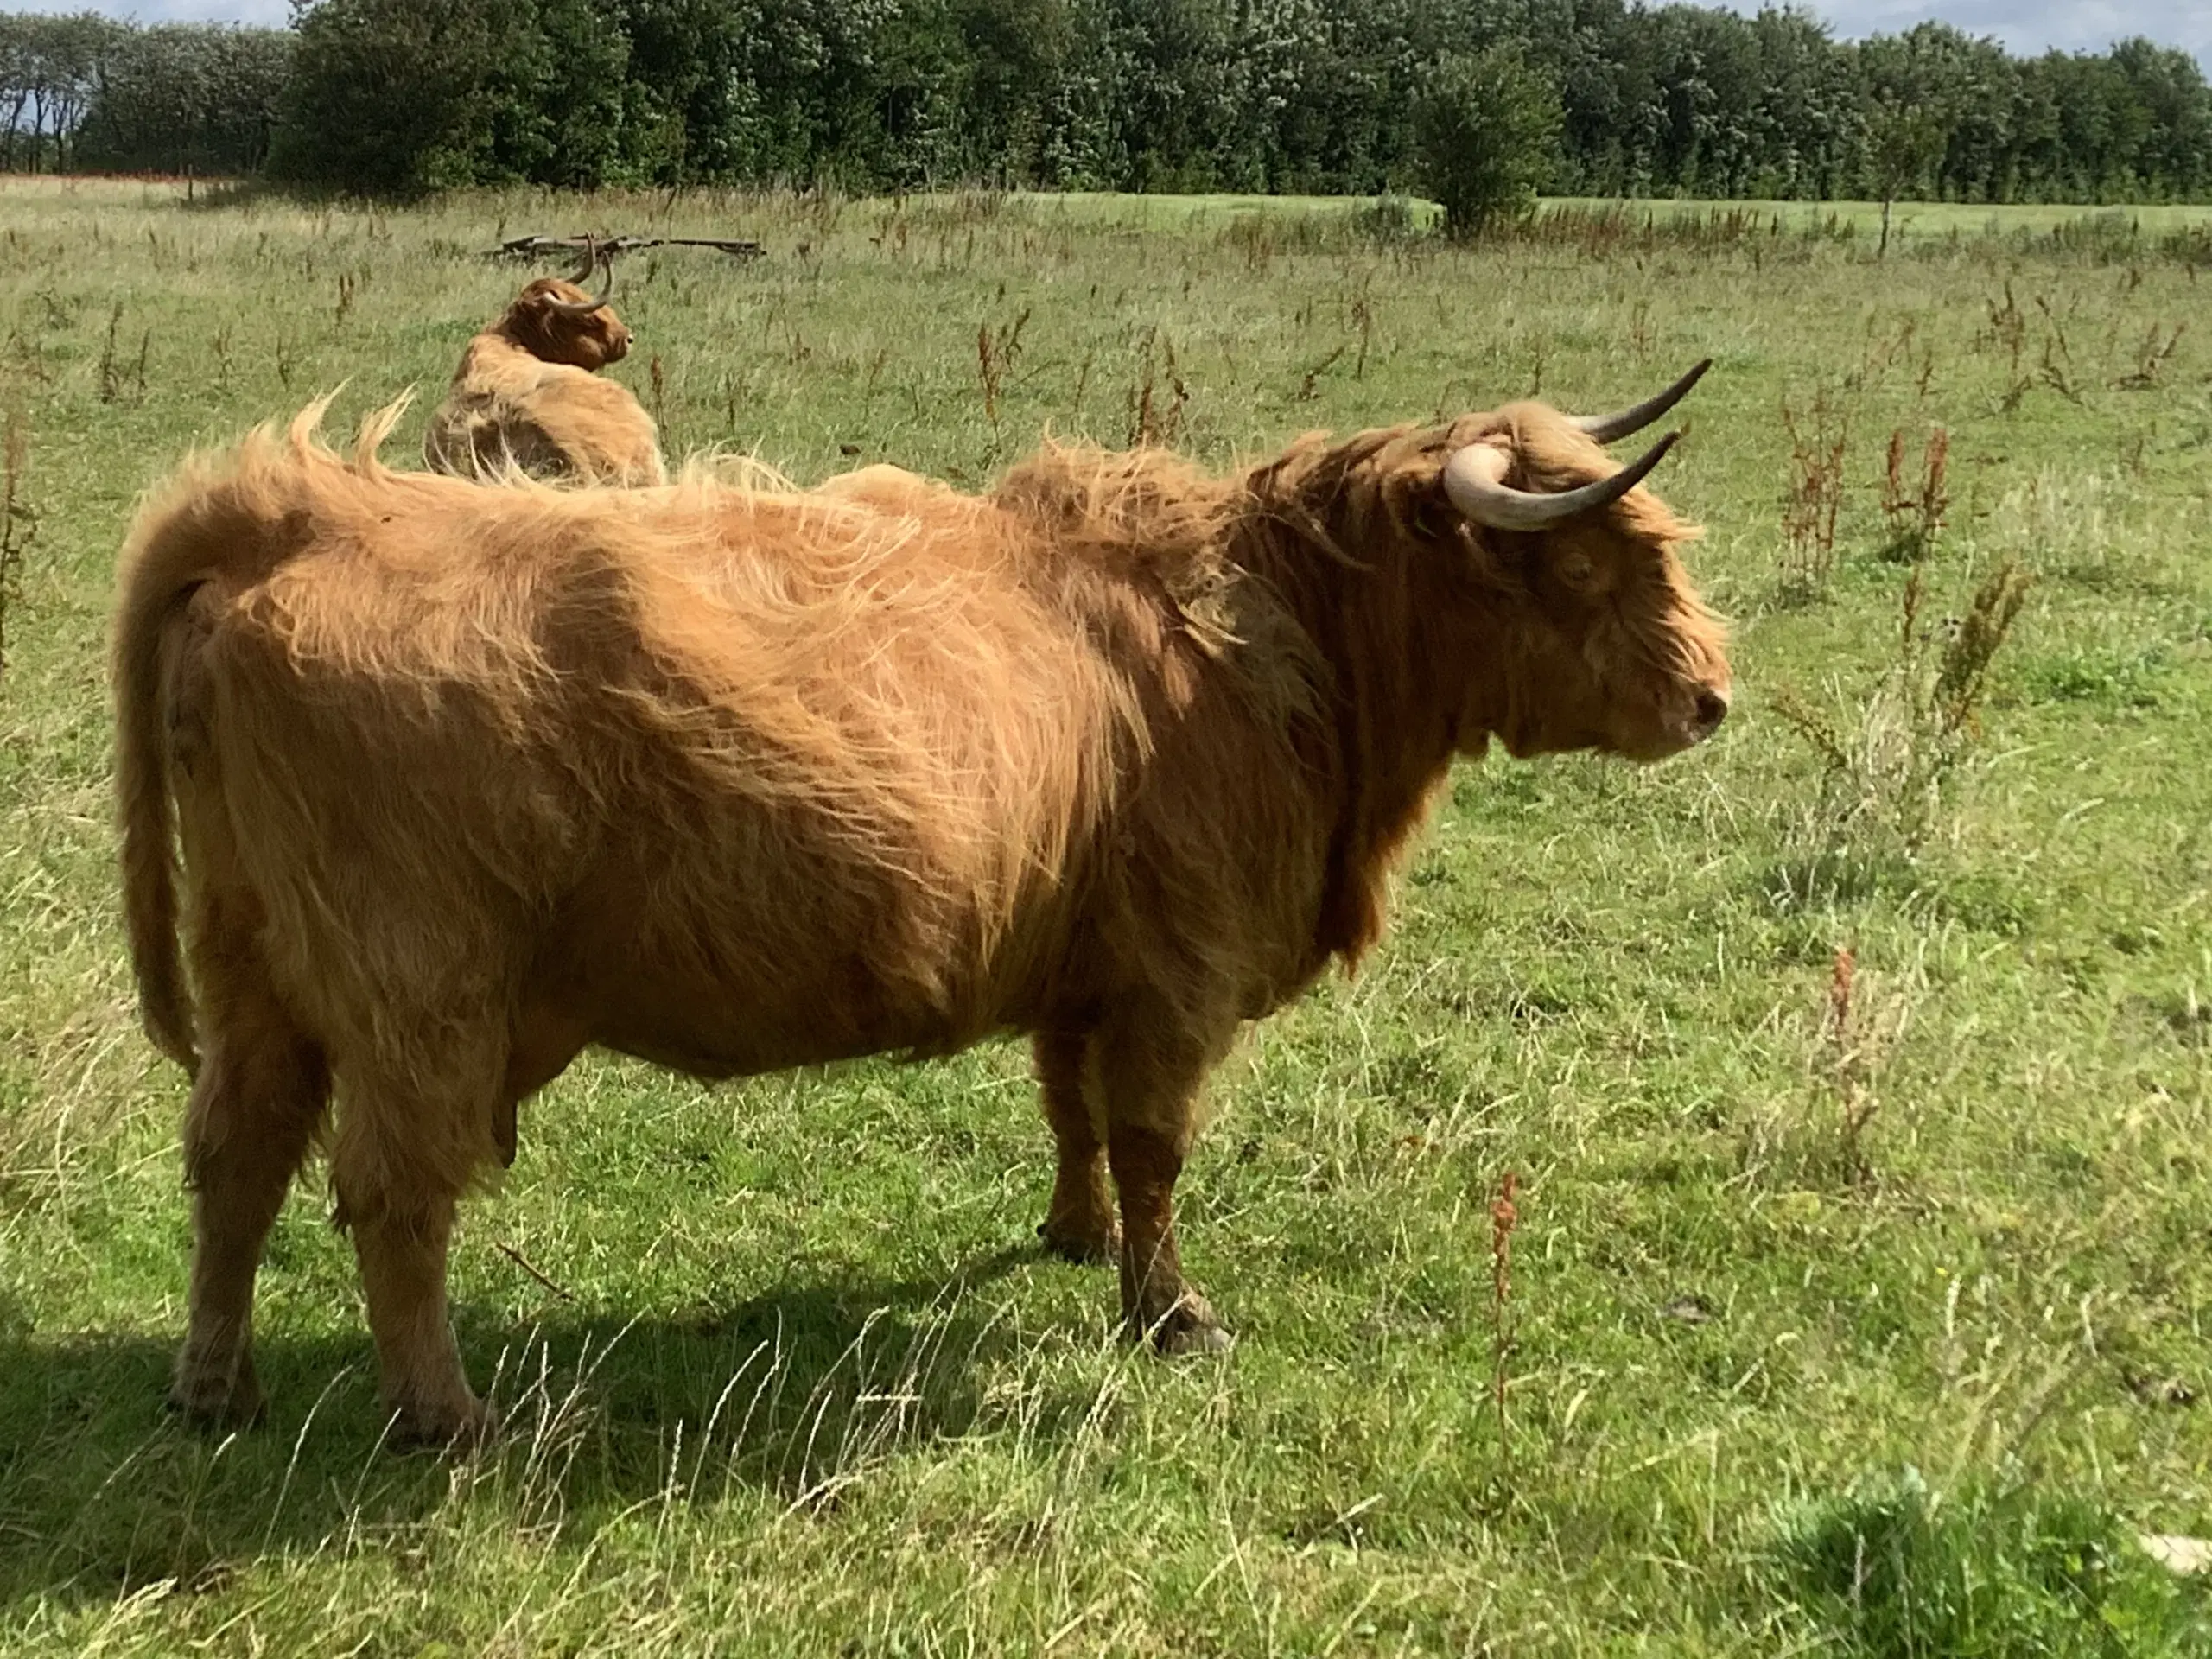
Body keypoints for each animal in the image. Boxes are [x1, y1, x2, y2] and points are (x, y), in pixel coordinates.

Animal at [117, 360, 1725, 1442]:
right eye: (1587, 563)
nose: (1712, 698)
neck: (1277, 643)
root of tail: (295, 509)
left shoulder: (1090, 955)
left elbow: (1073, 1108)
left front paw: (1075, 1238)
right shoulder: (1184, 964)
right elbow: (1155, 1139)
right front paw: (1171, 1310)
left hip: (253, 959)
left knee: (237, 1153)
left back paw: (214, 1384)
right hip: (422, 990)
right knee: (394, 1192)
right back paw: (450, 1418)